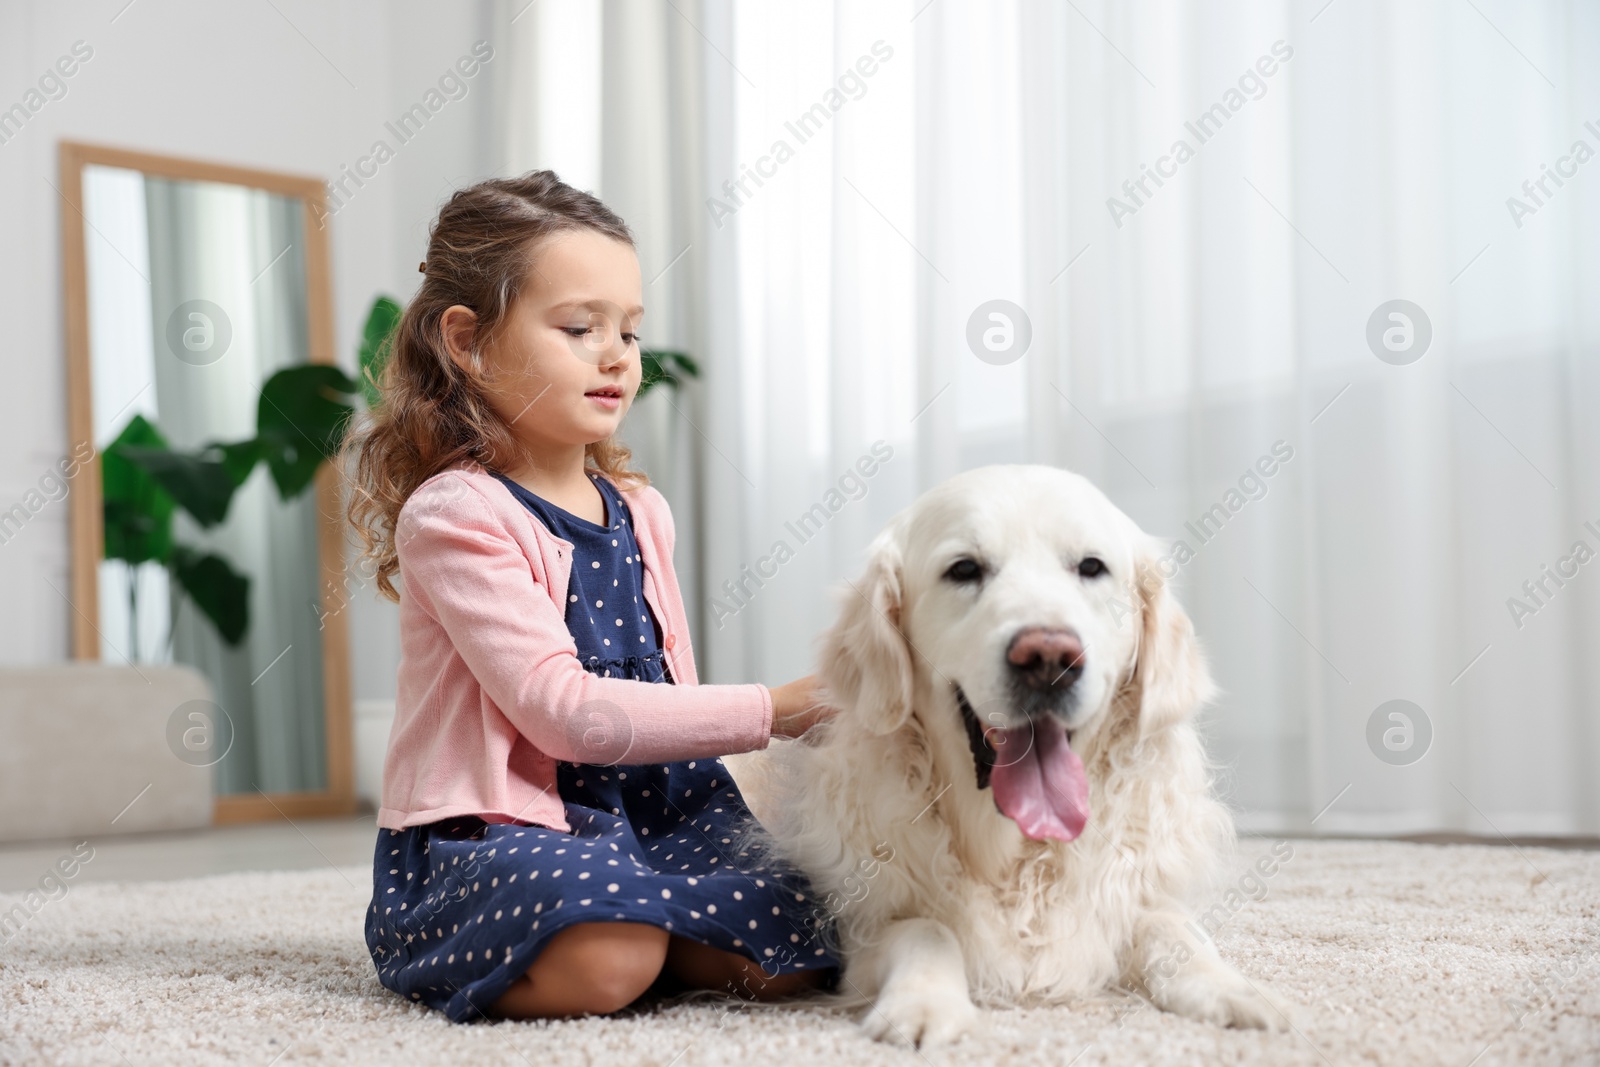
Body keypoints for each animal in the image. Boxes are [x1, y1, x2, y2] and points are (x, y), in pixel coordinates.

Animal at [742, 463, 1292, 1049]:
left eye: (1091, 567)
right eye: (964, 569)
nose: (1049, 658)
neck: (1013, 849)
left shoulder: (1130, 894)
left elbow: (1172, 925)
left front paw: (1235, 991)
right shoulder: (859, 926)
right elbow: (927, 928)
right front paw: (923, 1005)